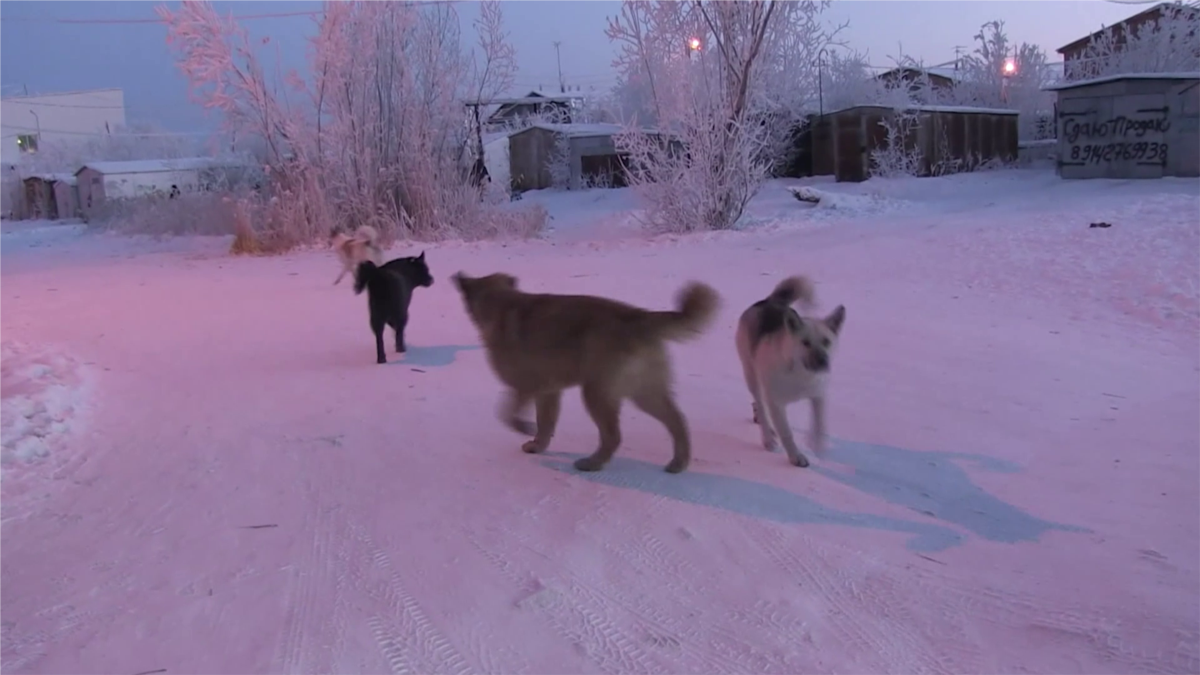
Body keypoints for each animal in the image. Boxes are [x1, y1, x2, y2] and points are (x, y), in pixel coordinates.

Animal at [451, 270, 715, 470]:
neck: (501, 303)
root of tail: (638, 316)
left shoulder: (526, 386)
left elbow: (507, 415)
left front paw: (525, 428)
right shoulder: (548, 392)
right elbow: (545, 424)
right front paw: (537, 445)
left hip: (596, 393)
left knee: (613, 435)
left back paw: (593, 463)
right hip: (644, 393)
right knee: (677, 422)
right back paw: (678, 463)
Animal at [734, 276, 849, 466]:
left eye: (826, 341)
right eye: (805, 342)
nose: (822, 361)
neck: (800, 374)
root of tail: (769, 301)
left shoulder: (818, 395)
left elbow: (819, 423)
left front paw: (816, 445)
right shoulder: (777, 404)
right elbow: (786, 432)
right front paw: (796, 456)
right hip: (751, 375)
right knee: (760, 404)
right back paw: (768, 438)